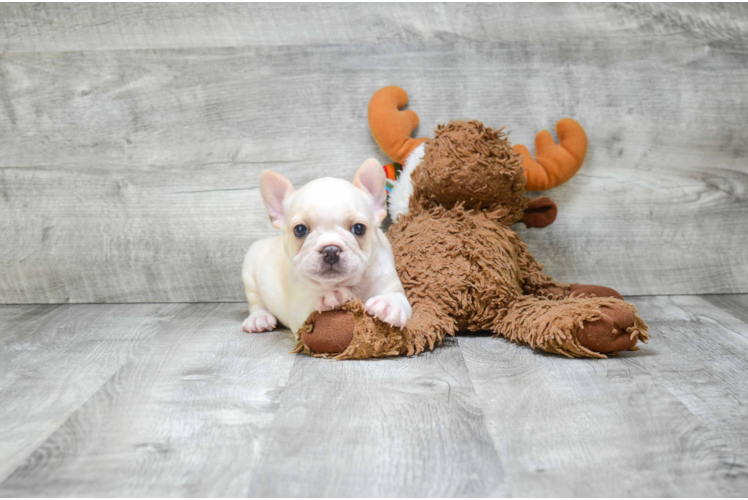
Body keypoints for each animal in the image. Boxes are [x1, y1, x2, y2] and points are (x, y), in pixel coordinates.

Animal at [241, 158, 412, 334]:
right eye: (300, 230)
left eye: (359, 228)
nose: (330, 250)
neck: (345, 283)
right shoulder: (297, 311)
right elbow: (309, 305)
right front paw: (330, 295)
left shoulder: (389, 282)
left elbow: (397, 296)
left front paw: (388, 304)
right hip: (250, 271)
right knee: (257, 302)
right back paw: (259, 318)